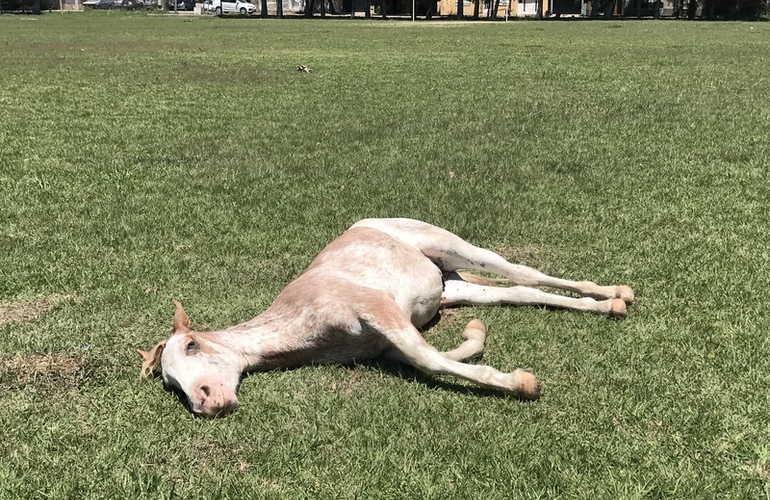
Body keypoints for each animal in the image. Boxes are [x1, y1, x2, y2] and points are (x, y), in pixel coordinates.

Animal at [138, 219, 632, 418]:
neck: (303, 324)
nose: (207, 401)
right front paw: (477, 335)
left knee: (524, 272)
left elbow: (431, 359)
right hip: (455, 286)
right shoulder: (388, 343)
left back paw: (615, 294)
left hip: (454, 247)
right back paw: (608, 304)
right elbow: (438, 354)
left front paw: (520, 383)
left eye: (193, 344)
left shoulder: (379, 309)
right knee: (522, 292)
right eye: (171, 384)